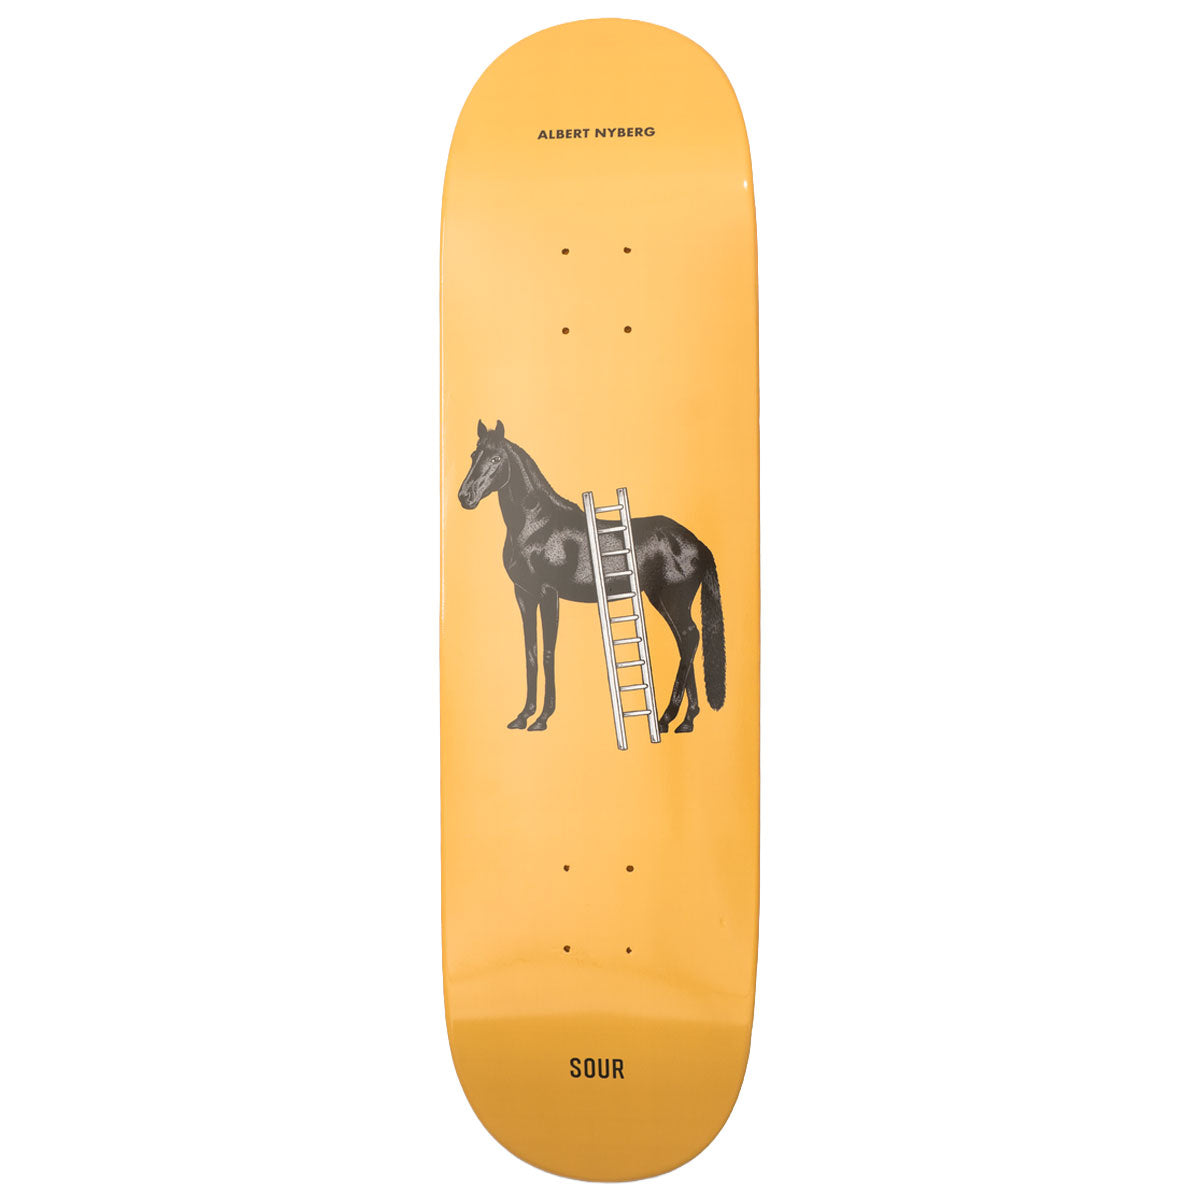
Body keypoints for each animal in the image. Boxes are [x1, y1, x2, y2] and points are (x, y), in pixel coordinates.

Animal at [457, 420, 725, 734]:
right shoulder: (523, 595)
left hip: (672, 600)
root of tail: (699, 543)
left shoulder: (548, 594)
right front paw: (523, 716)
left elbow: (548, 654)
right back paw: (685, 720)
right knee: (686, 641)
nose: (465, 497)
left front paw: (542, 718)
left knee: (690, 639)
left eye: (496, 458)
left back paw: (666, 717)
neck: (537, 526)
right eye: (474, 456)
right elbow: (531, 655)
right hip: (663, 600)